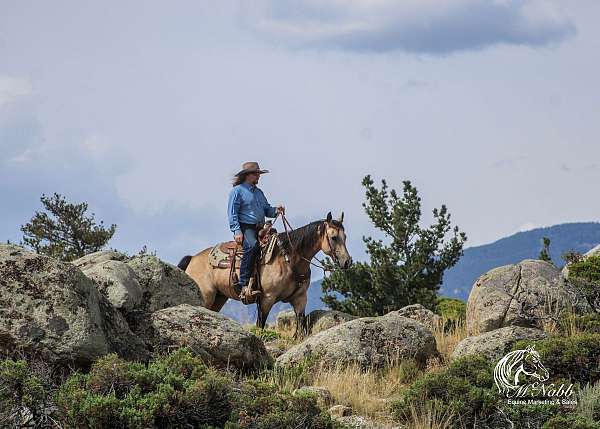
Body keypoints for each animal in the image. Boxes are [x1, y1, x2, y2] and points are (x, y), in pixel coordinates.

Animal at [176, 211, 352, 334]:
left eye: (345, 236)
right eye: (334, 237)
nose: (347, 262)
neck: (289, 260)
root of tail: (193, 258)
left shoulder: (300, 299)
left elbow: (301, 329)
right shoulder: (267, 299)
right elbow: (260, 326)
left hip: (218, 298)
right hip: (206, 296)